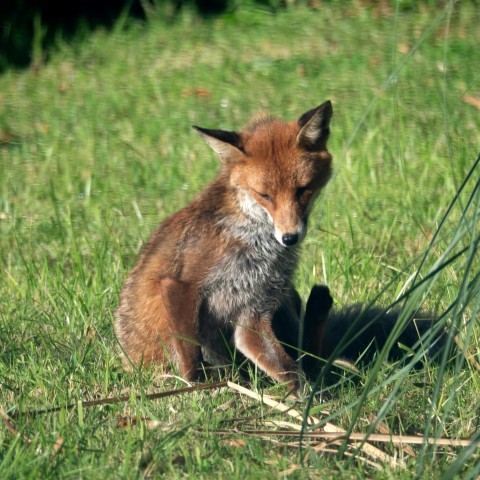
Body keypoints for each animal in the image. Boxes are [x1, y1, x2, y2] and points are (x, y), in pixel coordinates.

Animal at [114, 101, 336, 390]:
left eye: (303, 189)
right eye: (264, 195)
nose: (290, 237)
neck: (250, 232)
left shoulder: (254, 305)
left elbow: (286, 368)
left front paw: (308, 398)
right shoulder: (180, 284)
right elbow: (190, 356)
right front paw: (195, 387)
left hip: (286, 296)